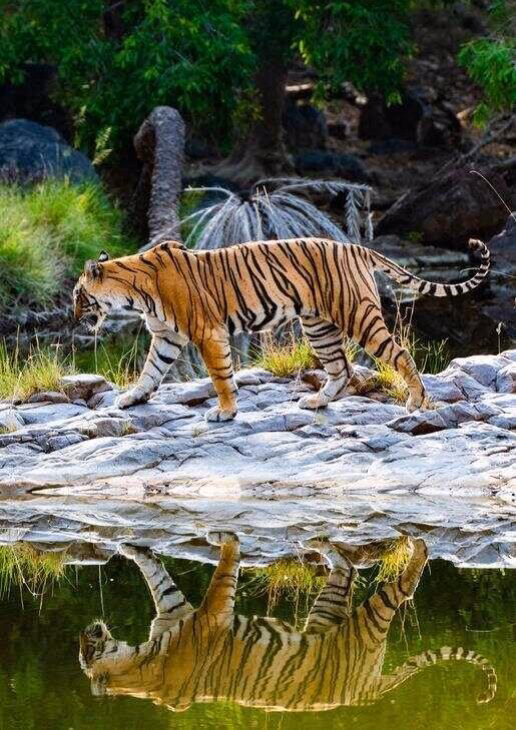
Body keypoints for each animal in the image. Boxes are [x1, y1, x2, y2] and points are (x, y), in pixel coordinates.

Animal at [73, 237, 490, 421]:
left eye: (79, 295)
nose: (72, 314)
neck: (133, 292)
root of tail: (356, 247)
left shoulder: (207, 333)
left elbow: (221, 376)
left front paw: (225, 412)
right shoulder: (166, 337)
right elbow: (150, 372)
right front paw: (131, 399)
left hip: (357, 315)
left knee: (399, 353)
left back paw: (415, 402)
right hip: (318, 326)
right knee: (342, 368)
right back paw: (317, 401)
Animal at [79, 534, 497, 712]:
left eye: (84, 647)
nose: (88, 629)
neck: (138, 662)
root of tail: (367, 693)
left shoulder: (190, 612)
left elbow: (168, 575)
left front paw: (132, 547)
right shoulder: (197, 613)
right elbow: (201, 574)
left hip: (347, 616)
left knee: (375, 575)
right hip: (346, 618)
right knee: (371, 577)